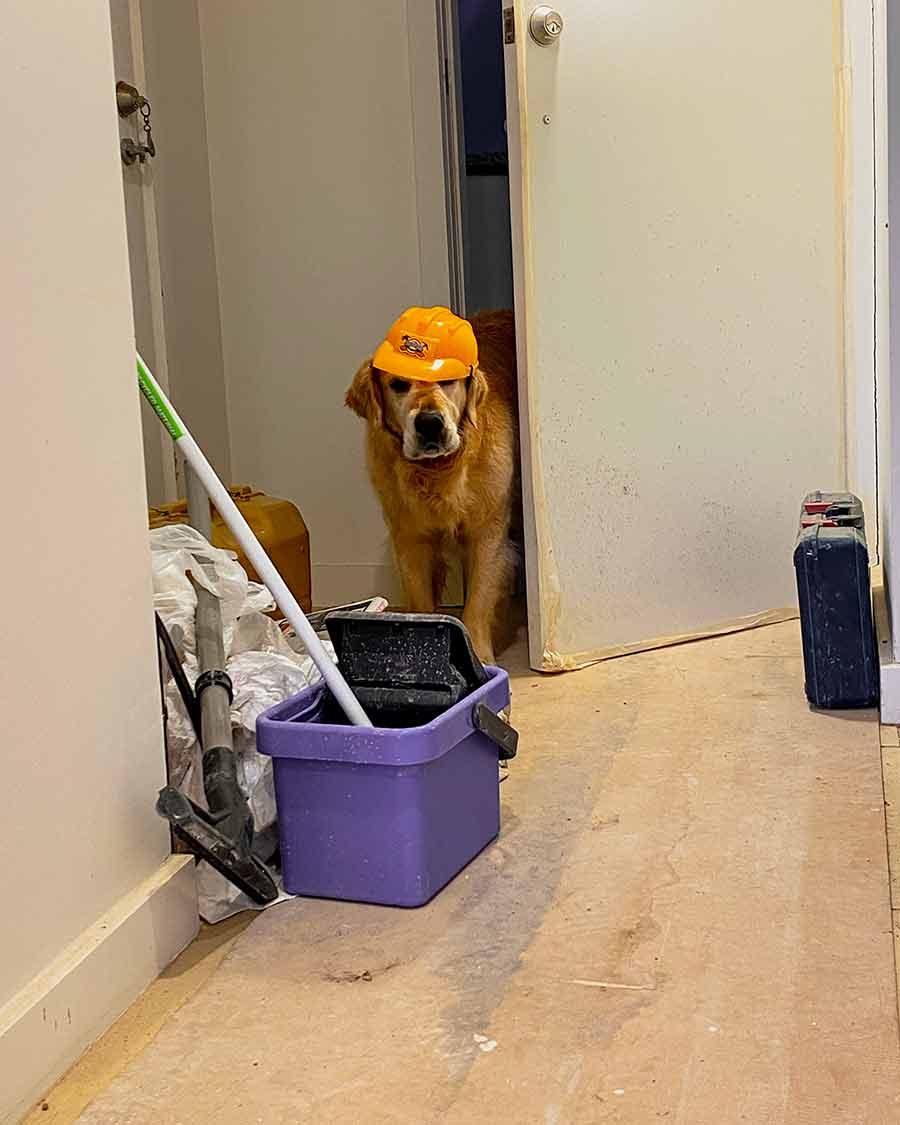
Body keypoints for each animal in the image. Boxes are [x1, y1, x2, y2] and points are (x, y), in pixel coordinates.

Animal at [345, 308, 519, 664]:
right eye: (398, 384)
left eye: (448, 382)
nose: (429, 423)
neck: (438, 471)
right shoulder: (410, 538)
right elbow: (422, 601)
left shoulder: (488, 530)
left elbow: (477, 601)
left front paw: (481, 656)